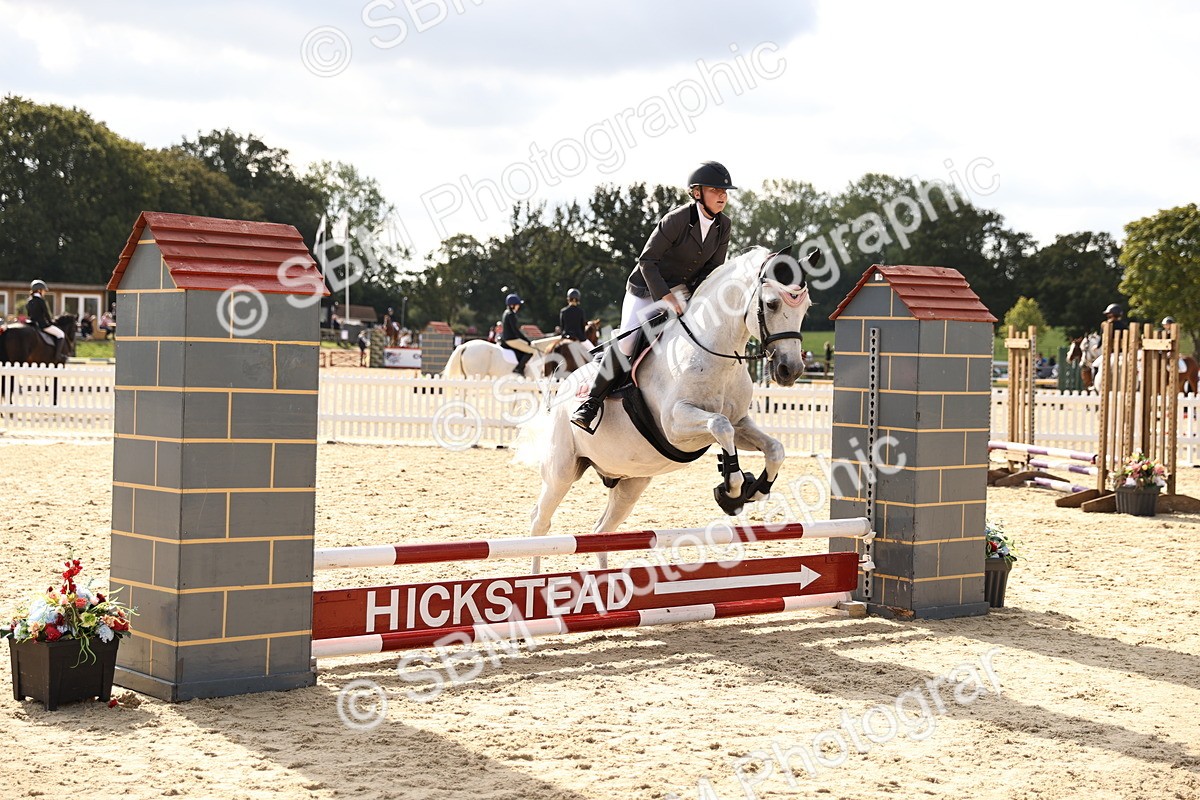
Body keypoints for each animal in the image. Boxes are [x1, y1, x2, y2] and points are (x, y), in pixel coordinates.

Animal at [518, 246, 814, 572]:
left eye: (806, 308)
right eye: (772, 304)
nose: (791, 370)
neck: (714, 351)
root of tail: (562, 392)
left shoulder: (741, 423)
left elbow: (774, 448)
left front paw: (756, 488)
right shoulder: (676, 425)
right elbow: (719, 426)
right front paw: (733, 490)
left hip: (631, 483)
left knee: (601, 531)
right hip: (562, 471)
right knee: (539, 523)